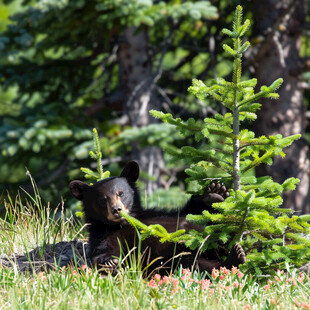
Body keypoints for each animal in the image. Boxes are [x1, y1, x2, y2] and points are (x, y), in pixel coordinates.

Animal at [69, 161, 245, 274]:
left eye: (121, 193)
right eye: (103, 199)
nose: (117, 210)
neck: (124, 223)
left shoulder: (155, 214)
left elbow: (188, 214)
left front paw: (215, 193)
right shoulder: (103, 235)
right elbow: (102, 251)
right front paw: (108, 262)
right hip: (169, 262)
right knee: (195, 265)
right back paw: (234, 258)